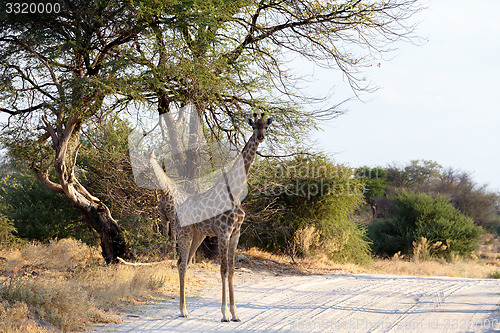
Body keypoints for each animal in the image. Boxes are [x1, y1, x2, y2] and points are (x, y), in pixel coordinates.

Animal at [151, 113, 272, 320]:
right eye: (254, 126)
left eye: (266, 126)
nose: (260, 137)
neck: (235, 192)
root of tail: (178, 211)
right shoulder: (223, 232)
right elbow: (223, 270)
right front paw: (224, 314)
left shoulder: (236, 233)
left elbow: (231, 271)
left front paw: (235, 313)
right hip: (184, 233)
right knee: (181, 264)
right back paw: (183, 310)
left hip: (198, 235)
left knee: (183, 262)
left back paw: (184, 309)